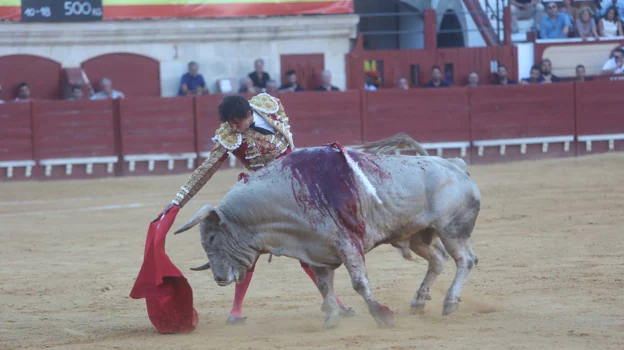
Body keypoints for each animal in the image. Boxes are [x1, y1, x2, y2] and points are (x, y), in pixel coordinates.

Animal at [173, 141, 480, 330]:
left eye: (212, 239)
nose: (219, 278)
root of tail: (456, 164)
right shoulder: (315, 250)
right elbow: (323, 286)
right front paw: (332, 318)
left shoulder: (347, 244)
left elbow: (359, 283)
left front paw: (382, 315)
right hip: (417, 234)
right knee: (439, 259)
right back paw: (418, 302)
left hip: (451, 230)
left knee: (465, 260)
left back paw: (449, 303)